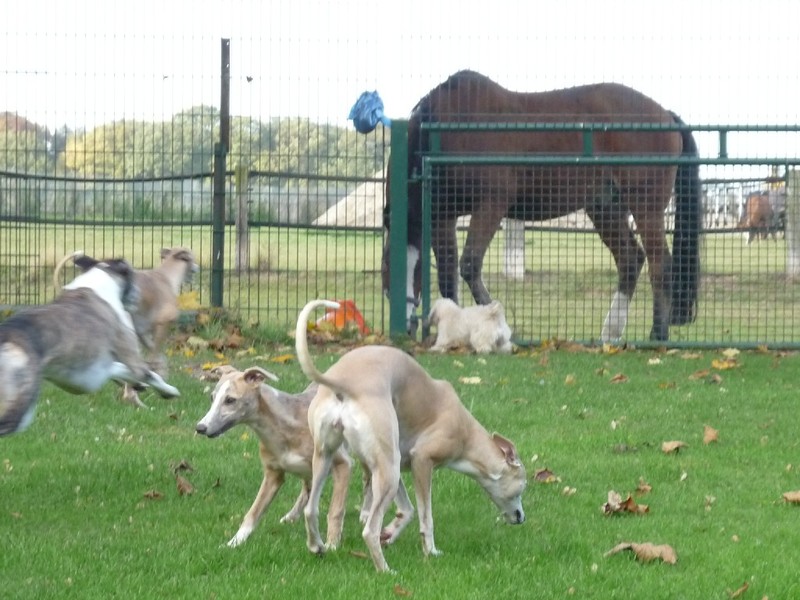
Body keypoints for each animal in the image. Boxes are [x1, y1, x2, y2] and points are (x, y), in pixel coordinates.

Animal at [194, 366, 350, 548]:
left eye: (230, 400)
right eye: (212, 398)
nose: (200, 427)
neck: (284, 425)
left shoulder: (342, 464)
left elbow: (335, 510)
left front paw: (332, 545)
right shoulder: (273, 475)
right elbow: (253, 512)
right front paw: (234, 542)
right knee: (307, 490)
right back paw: (291, 516)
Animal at [294, 298, 524, 572]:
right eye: (523, 485)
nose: (521, 517)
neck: (465, 431)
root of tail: (344, 384)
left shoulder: (398, 463)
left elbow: (407, 510)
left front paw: (391, 533)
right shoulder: (422, 461)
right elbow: (425, 516)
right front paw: (431, 551)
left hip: (334, 457)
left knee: (310, 510)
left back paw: (318, 546)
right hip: (388, 470)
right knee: (369, 530)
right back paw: (385, 569)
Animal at [382, 69, 700, 342]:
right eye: (387, 268)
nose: (407, 327)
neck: (448, 127)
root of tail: (665, 115)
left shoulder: (491, 204)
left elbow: (469, 265)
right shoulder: (442, 215)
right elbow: (448, 275)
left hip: (645, 207)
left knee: (660, 264)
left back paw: (657, 334)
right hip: (604, 208)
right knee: (630, 260)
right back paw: (610, 333)